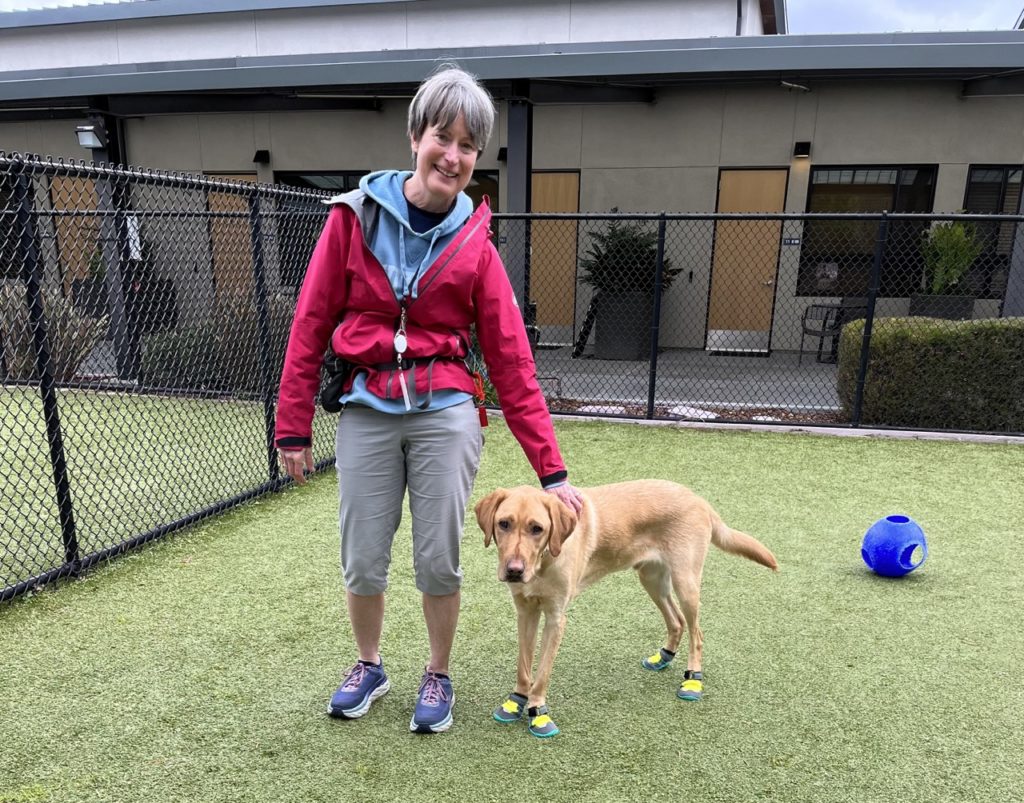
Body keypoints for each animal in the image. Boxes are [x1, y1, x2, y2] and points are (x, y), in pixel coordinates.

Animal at [471, 479, 774, 737]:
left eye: (537, 528)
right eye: (504, 523)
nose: (514, 571)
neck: (543, 562)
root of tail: (699, 499)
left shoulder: (556, 618)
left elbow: (543, 671)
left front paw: (537, 710)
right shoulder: (525, 611)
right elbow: (523, 665)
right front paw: (517, 700)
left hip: (685, 582)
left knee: (696, 633)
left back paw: (693, 680)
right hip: (652, 578)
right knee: (676, 620)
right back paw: (664, 656)